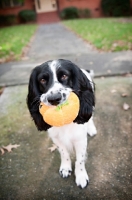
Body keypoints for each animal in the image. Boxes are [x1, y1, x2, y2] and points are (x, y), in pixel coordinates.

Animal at [26, 58, 97, 188]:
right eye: (42, 80)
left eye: (64, 76)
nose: (54, 99)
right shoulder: (56, 138)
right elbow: (64, 153)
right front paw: (65, 168)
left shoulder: (80, 139)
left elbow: (80, 160)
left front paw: (81, 176)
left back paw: (91, 128)